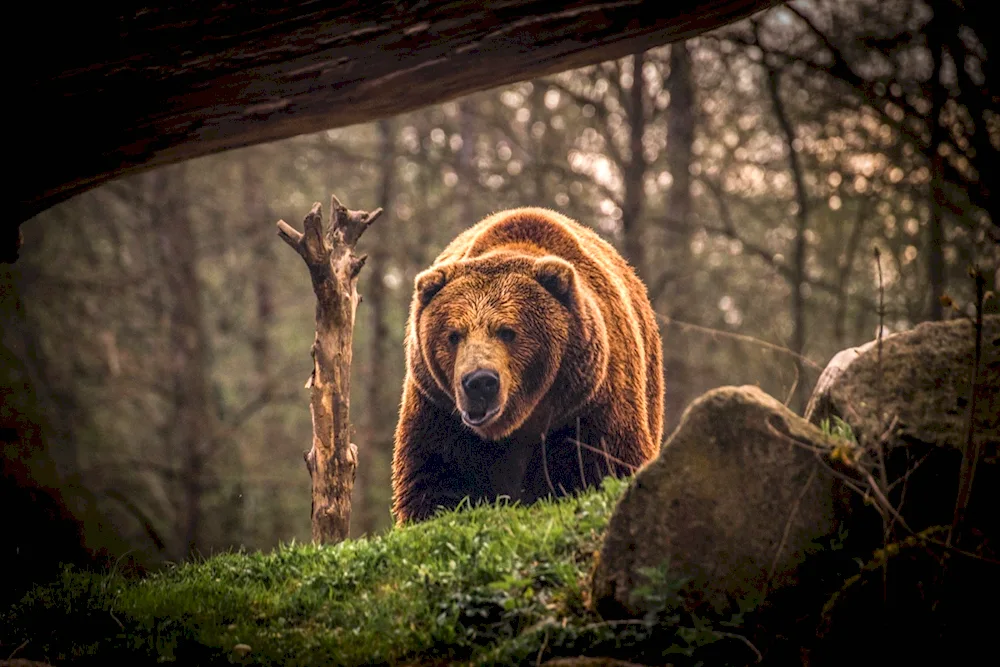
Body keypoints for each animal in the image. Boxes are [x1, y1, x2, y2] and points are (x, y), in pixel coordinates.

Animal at [390, 207, 664, 520]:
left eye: (508, 331)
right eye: (453, 335)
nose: (480, 381)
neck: (522, 422)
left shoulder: (591, 405)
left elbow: (609, 463)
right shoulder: (439, 410)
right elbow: (434, 481)